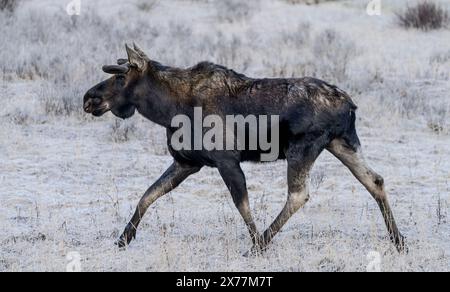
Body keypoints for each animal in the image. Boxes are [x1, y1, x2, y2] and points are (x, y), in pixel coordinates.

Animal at [82, 44, 406, 256]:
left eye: (120, 77)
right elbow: (147, 196)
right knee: (375, 180)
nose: (88, 98)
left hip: (303, 148)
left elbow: (242, 204)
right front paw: (123, 238)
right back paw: (398, 240)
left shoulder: (226, 159)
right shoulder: (187, 162)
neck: (166, 109)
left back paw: (261, 244)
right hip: (342, 143)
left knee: (299, 194)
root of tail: (350, 106)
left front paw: (253, 242)